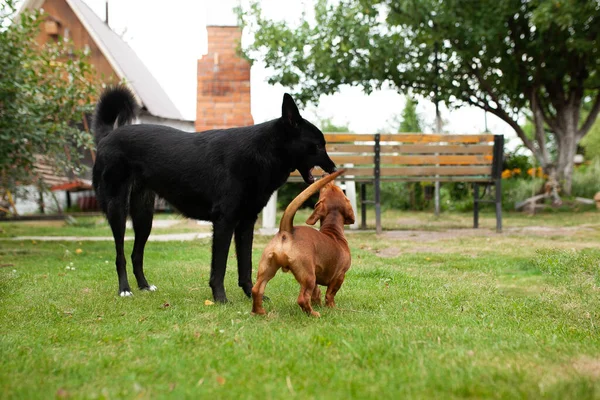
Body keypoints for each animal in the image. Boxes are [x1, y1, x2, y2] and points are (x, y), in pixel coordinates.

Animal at [94, 86, 338, 302]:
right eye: (318, 146)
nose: (335, 168)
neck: (261, 152)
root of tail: (108, 136)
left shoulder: (246, 223)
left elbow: (246, 265)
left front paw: (251, 295)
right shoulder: (224, 222)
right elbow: (219, 267)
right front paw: (220, 298)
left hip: (144, 217)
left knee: (136, 254)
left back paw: (144, 286)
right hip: (117, 209)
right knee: (120, 255)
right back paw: (125, 289)